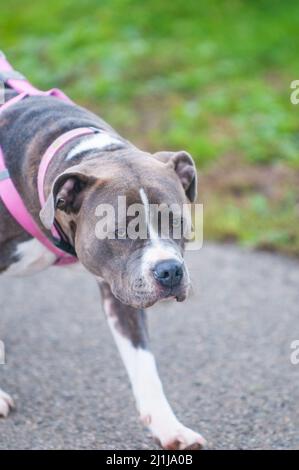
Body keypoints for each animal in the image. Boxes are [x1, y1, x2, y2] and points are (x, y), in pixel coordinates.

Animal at [0, 52, 206, 452]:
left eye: (176, 221)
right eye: (121, 230)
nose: (170, 271)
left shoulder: (122, 287)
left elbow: (144, 365)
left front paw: (169, 427)